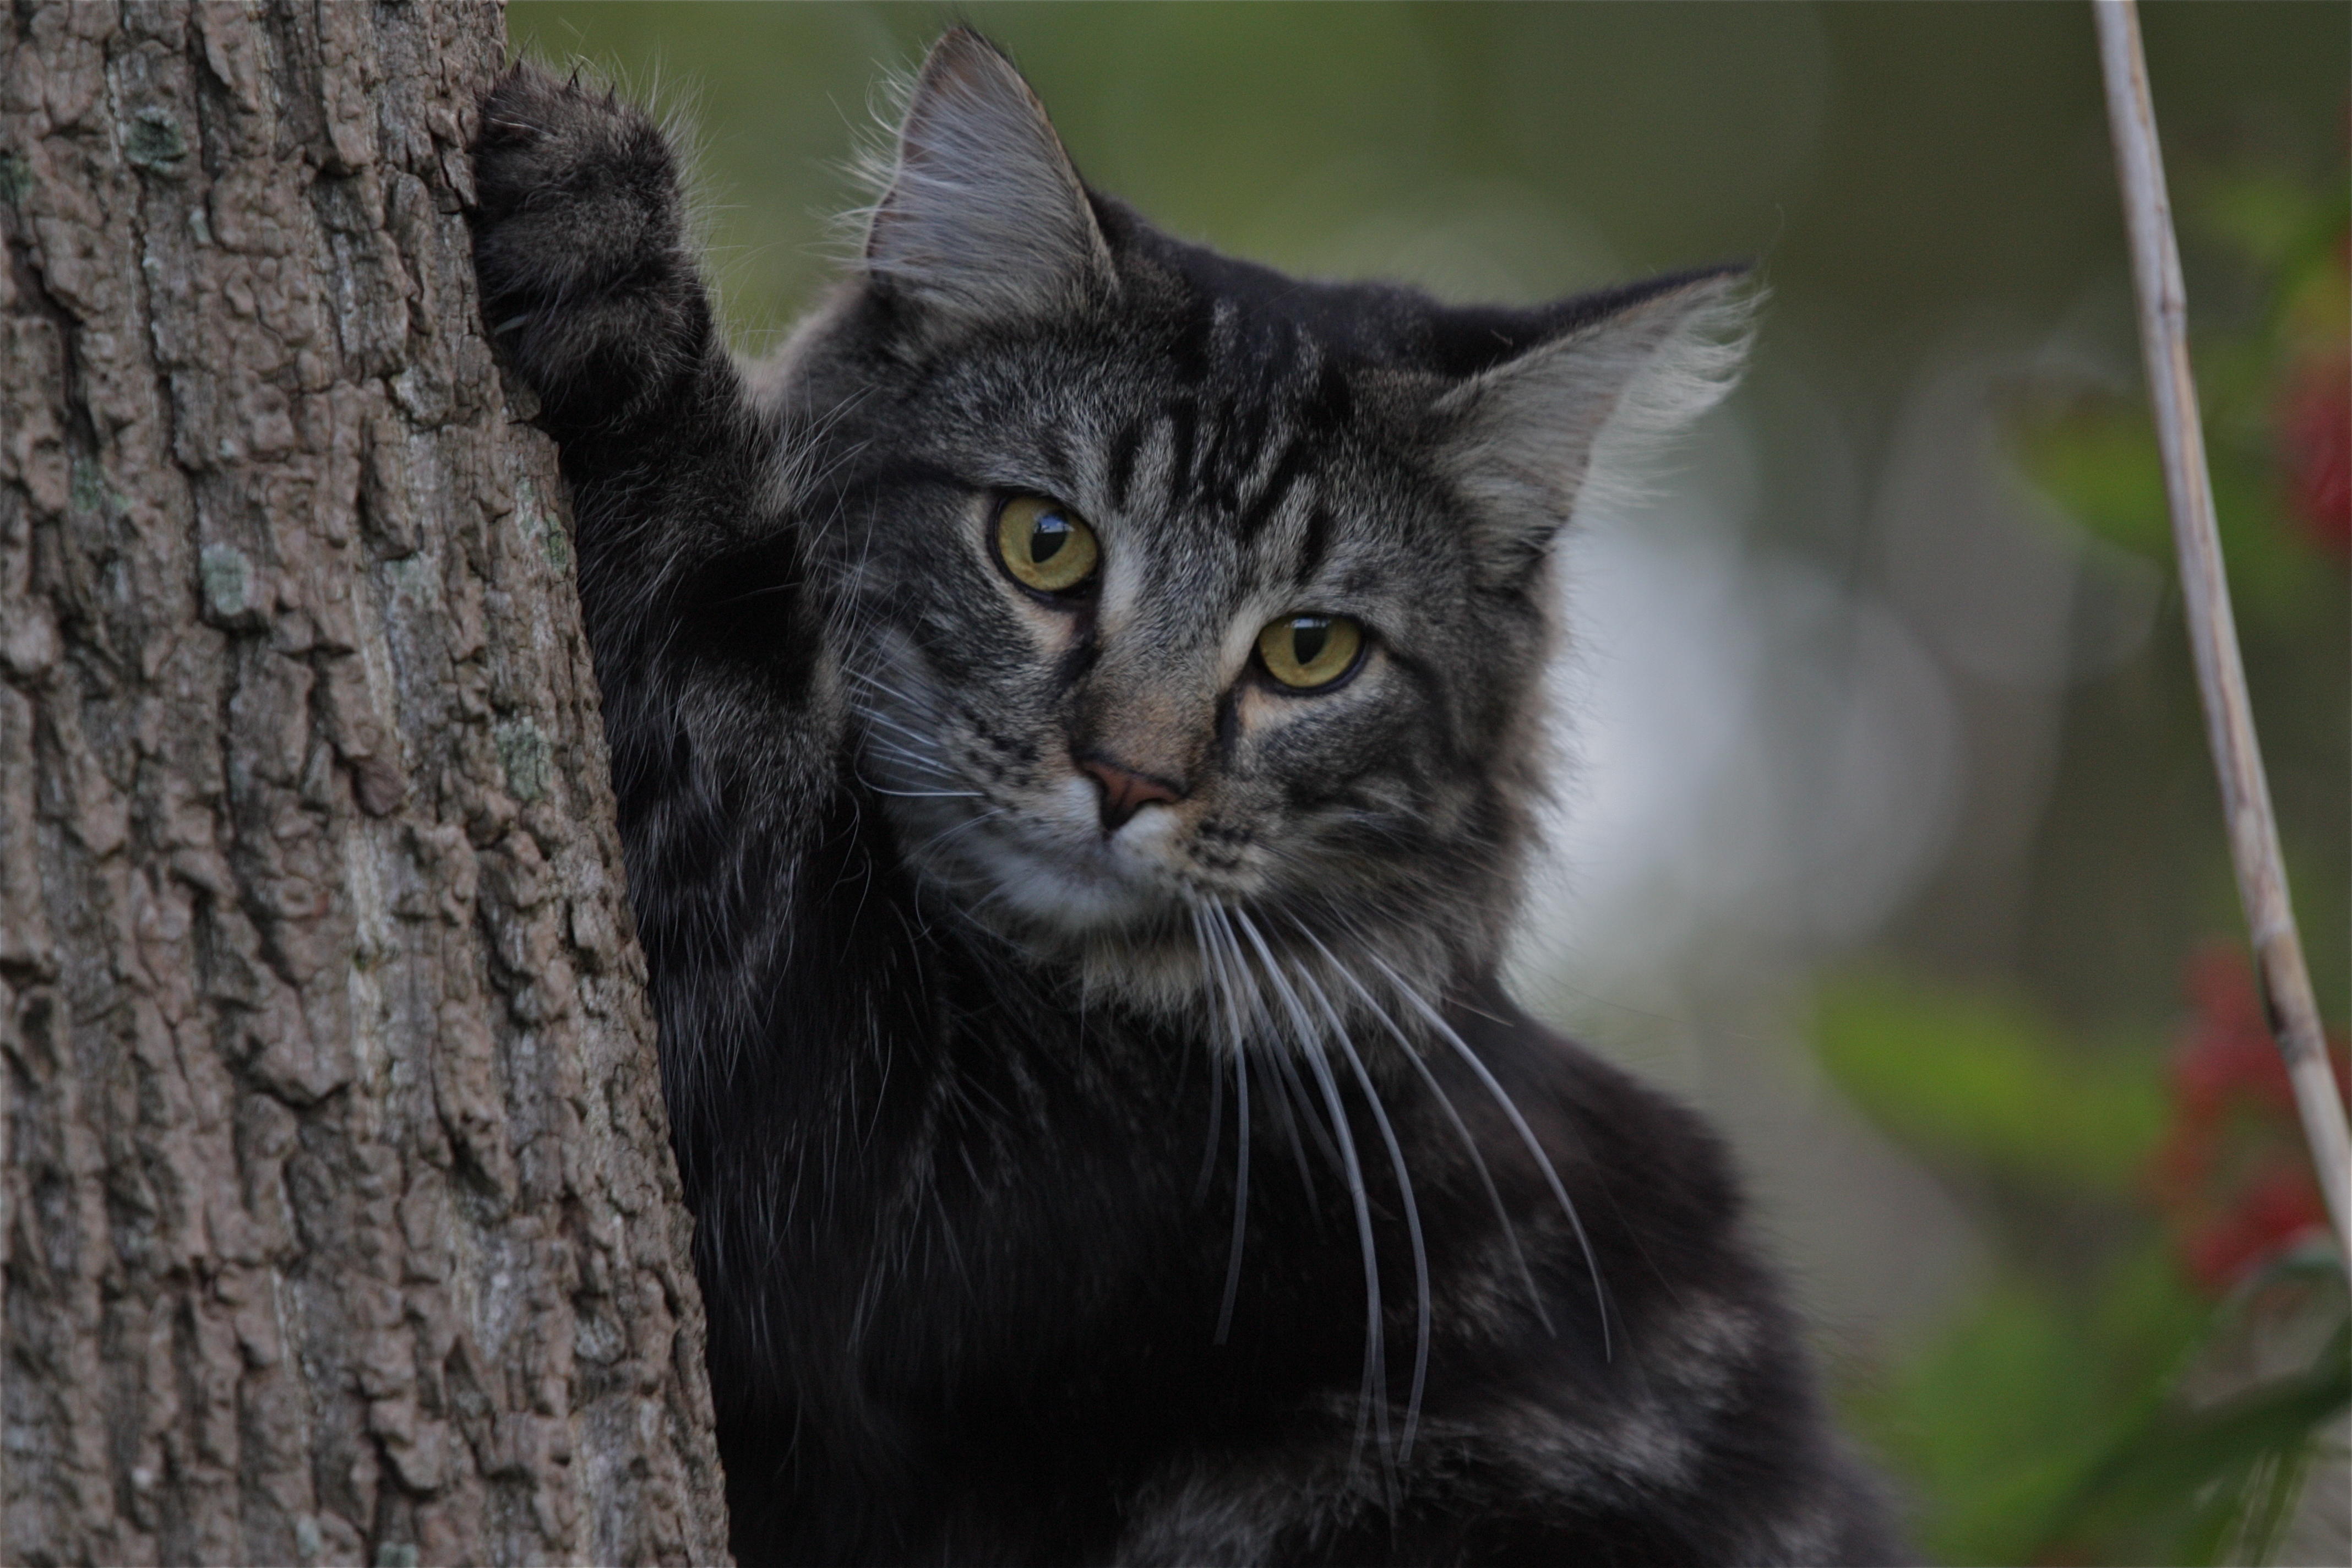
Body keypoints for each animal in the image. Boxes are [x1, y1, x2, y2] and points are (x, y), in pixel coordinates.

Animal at [468, 28, 1900, 1568]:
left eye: (1310, 649)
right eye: (1043, 544)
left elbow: (718, 617)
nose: (1128, 777)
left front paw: (611, 251)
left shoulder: (873, 1157)